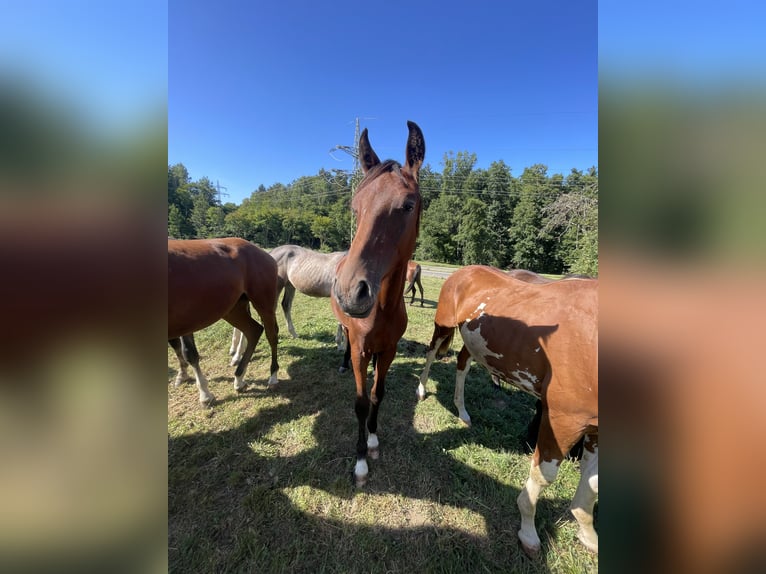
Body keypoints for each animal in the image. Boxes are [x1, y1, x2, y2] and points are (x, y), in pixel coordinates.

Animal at [168, 237, 280, 404]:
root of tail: (263, 253)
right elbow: (178, 348)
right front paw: (183, 376)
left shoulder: (185, 320)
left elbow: (189, 353)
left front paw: (205, 394)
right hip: (233, 308)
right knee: (253, 330)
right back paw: (239, 379)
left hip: (263, 303)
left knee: (271, 335)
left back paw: (272, 376)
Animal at [331, 121, 425, 488]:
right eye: (355, 207)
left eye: (408, 205)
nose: (351, 292)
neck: (382, 309)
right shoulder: (360, 347)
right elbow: (359, 402)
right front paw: (359, 463)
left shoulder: (389, 349)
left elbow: (376, 394)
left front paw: (372, 441)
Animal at [416, 265, 598, 555]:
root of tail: (462, 272)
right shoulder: (564, 420)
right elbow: (544, 475)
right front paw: (528, 532)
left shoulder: (594, 428)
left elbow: (592, 484)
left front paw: (588, 534)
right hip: (443, 325)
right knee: (432, 353)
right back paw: (422, 390)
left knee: (463, 364)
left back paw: (462, 411)